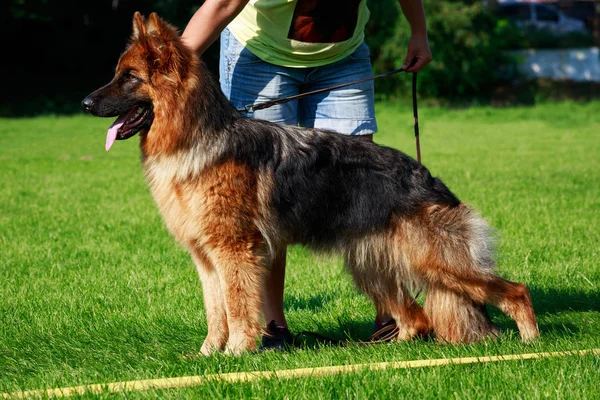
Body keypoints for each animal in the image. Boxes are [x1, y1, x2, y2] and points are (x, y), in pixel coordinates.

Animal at [81, 13, 540, 356]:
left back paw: (531, 344)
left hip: (434, 261)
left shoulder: (235, 252)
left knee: (515, 291)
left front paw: (236, 353)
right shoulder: (207, 258)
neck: (195, 136)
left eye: (130, 77)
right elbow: (216, 311)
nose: (84, 103)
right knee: (416, 317)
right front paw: (209, 355)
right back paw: (389, 349)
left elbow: (238, 306)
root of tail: (428, 177)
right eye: (118, 74)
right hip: (373, 266)